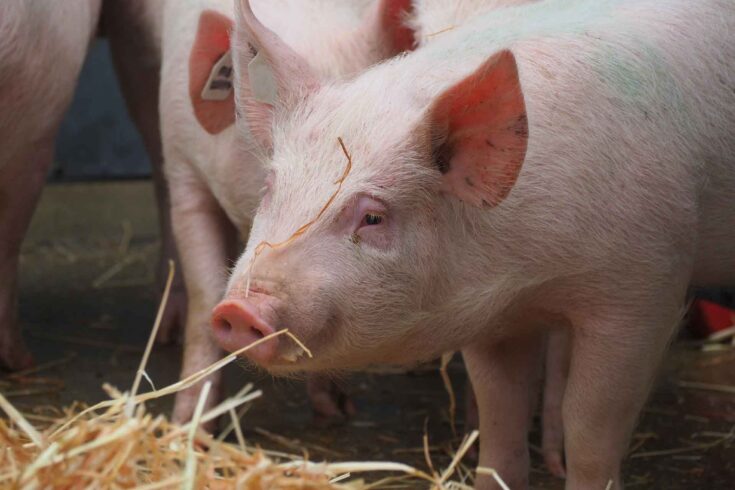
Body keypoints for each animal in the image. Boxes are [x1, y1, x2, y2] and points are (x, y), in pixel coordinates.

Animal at [213, 0, 735, 490]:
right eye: (270, 189)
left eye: (374, 216)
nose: (239, 310)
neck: (537, 273)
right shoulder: (491, 312)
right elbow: (500, 415)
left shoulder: (645, 291)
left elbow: (590, 424)